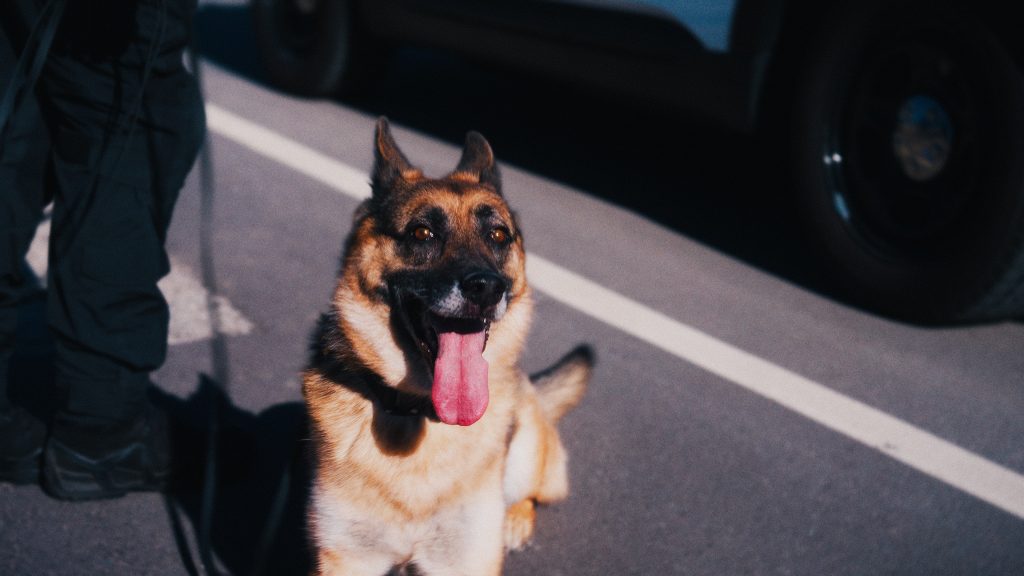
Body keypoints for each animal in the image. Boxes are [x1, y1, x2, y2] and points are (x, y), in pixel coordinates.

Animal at [303, 117, 593, 573]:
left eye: (498, 235)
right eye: (423, 233)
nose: (487, 288)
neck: (420, 414)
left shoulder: (464, 560)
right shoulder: (348, 558)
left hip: (525, 456)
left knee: (533, 494)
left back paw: (516, 520)